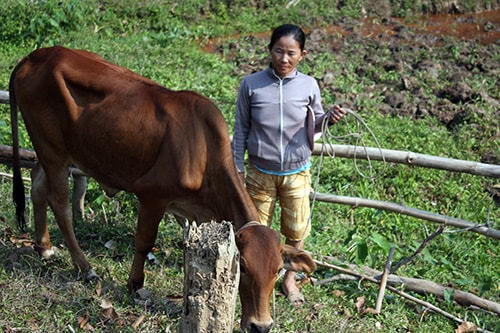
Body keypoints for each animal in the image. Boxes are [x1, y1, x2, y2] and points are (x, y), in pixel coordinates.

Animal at [9, 47, 314, 332]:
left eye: (277, 270)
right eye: (244, 268)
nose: (260, 325)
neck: (204, 153)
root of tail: (35, 56)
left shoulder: (187, 210)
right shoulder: (152, 196)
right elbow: (144, 242)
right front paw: (135, 284)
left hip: (47, 150)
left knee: (37, 185)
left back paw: (44, 247)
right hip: (54, 151)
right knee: (60, 204)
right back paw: (85, 268)